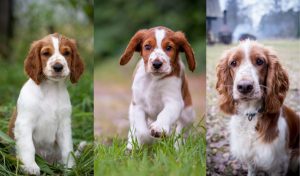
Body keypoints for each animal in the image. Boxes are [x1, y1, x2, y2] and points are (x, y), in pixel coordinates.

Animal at [7, 33, 84, 175]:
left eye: (67, 53)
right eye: (46, 53)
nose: (58, 67)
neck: (51, 89)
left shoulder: (64, 125)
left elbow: (67, 149)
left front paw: (70, 168)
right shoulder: (24, 123)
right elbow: (28, 147)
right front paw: (30, 167)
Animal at [216, 39, 298, 175]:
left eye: (260, 61)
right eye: (233, 63)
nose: (244, 87)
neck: (251, 113)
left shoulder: (276, 164)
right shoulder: (250, 157)